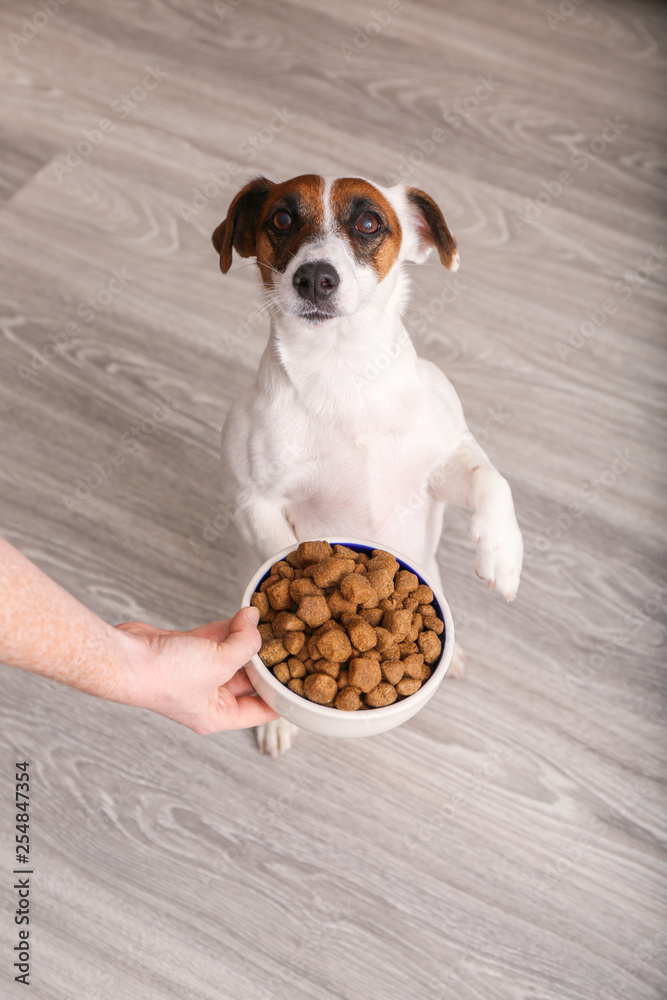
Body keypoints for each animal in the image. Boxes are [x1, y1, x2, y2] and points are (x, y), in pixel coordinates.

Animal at [211, 172, 524, 752]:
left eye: (369, 222)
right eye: (281, 218)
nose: (315, 278)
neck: (342, 373)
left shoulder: (443, 461)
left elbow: (492, 481)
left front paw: (502, 553)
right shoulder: (253, 501)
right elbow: (279, 549)